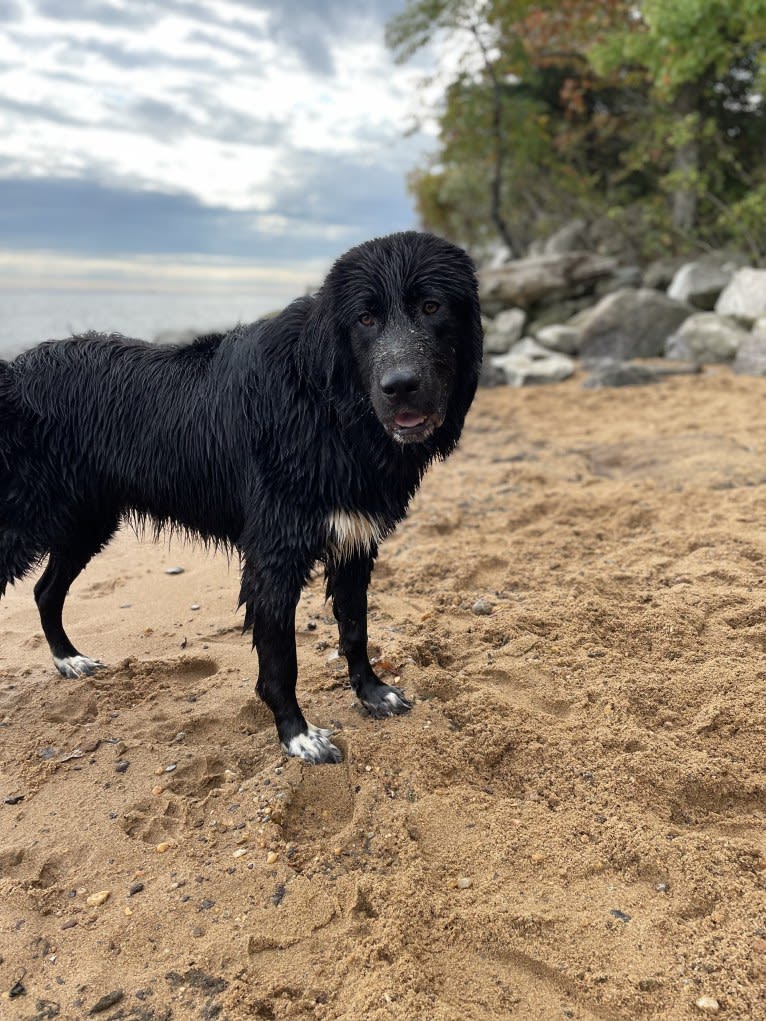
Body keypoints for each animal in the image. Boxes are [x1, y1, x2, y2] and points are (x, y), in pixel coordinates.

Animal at [0, 229, 480, 759]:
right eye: (365, 318)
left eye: (432, 306)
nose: (400, 387)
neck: (328, 405)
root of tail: (12, 373)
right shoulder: (274, 557)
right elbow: (281, 661)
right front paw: (297, 735)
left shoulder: (355, 541)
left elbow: (355, 628)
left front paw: (372, 692)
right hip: (29, 521)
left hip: (87, 521)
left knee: (45, 591)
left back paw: (69, 660)